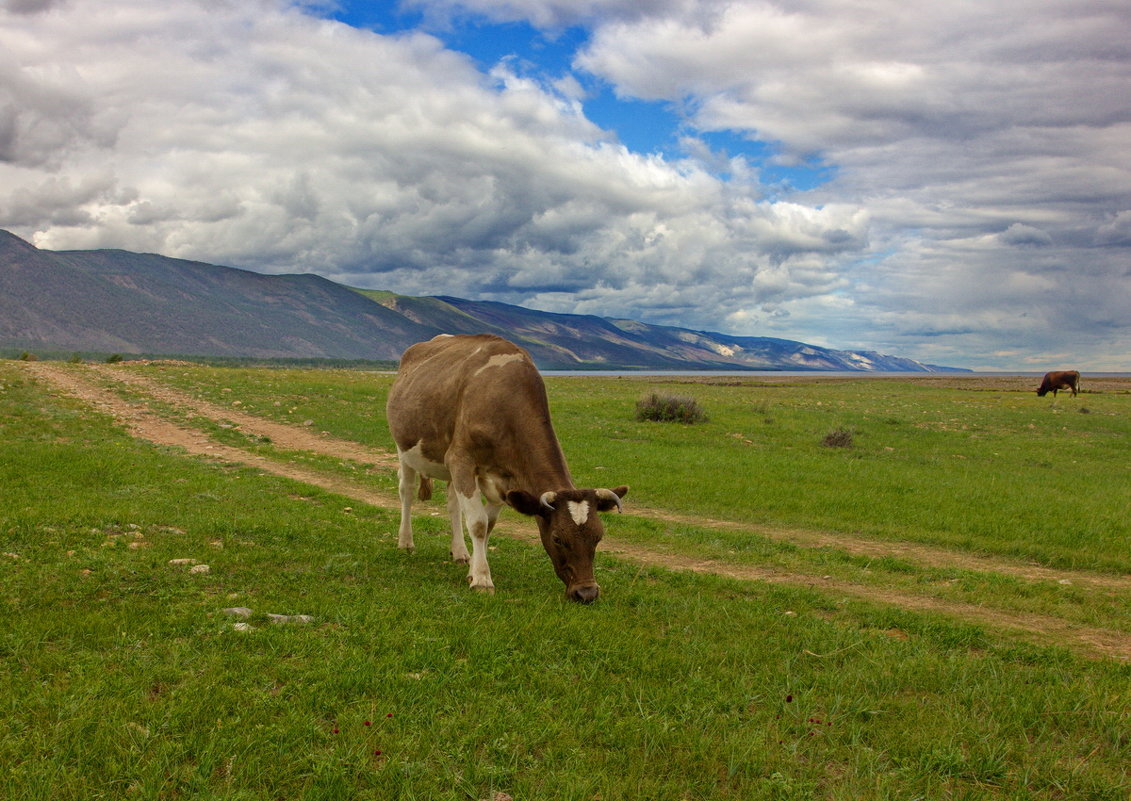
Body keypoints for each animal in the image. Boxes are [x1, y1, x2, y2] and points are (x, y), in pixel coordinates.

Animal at [389, 332, 628, 601]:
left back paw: (459, 552)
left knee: (452, 504)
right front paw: (482, 579)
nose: (586, 592)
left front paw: (473, 570)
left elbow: (488, 523)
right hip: (404, 448)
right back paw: (406, 542)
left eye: (598, 536)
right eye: (557, 538)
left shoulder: (504, 480)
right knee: (406, 491)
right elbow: (478, 523)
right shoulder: (460, 459)